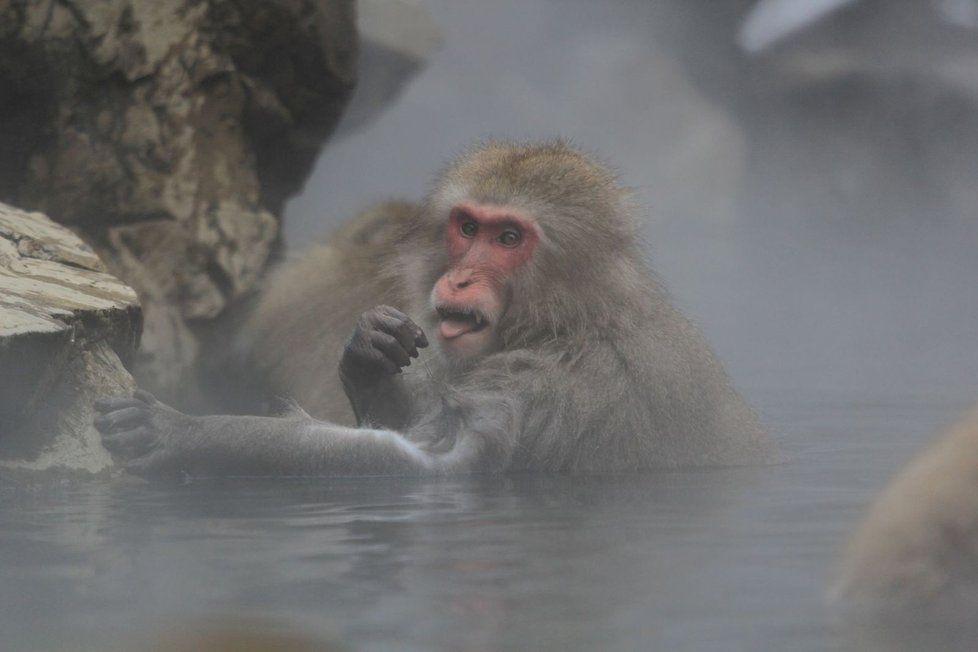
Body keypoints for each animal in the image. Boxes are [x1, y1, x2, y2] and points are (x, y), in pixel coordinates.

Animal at [95, 140, 772, 476]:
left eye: (508, 238)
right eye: (468, 227)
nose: (463, 277)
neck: (568, 319)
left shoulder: (549, 385)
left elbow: (435, 466)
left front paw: (189, 433)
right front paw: (366, 353)